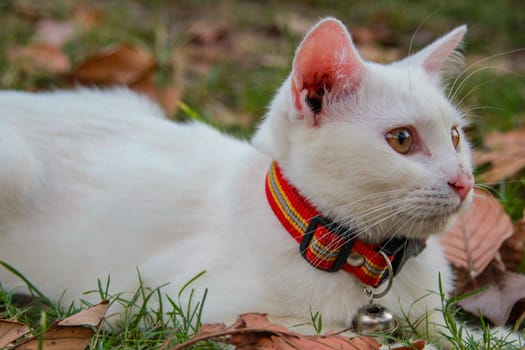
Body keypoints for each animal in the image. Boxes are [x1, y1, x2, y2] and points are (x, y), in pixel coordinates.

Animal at [0, 17, 516, 348]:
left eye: (456, 136)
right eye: (402, 140)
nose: (465, 181)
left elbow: (450, 333)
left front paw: (495, 336)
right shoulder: (199, 307)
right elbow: (347, 335)